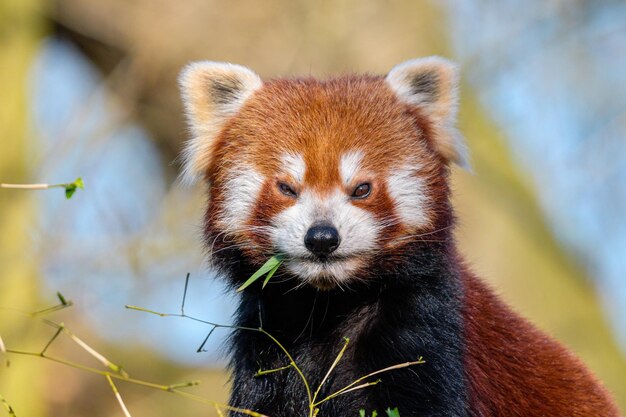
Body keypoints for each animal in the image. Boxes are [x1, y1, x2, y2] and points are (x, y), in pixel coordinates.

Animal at [178, 57, 616, 414]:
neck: (328, 308)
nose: (322, 238)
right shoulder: (270, 341)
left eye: (361, 189)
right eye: (286, 187)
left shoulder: (427, 335)